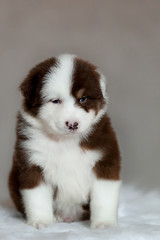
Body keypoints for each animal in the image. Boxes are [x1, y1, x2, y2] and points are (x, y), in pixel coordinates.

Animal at [8, 54, 120, 229]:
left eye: (83, 98)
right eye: (55, 101)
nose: (72, 124)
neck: (65, 141)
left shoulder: (105, 160)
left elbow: (104, 196)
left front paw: (104, 223)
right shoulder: (31, 162)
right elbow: (37, 196)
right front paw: (40, 221)